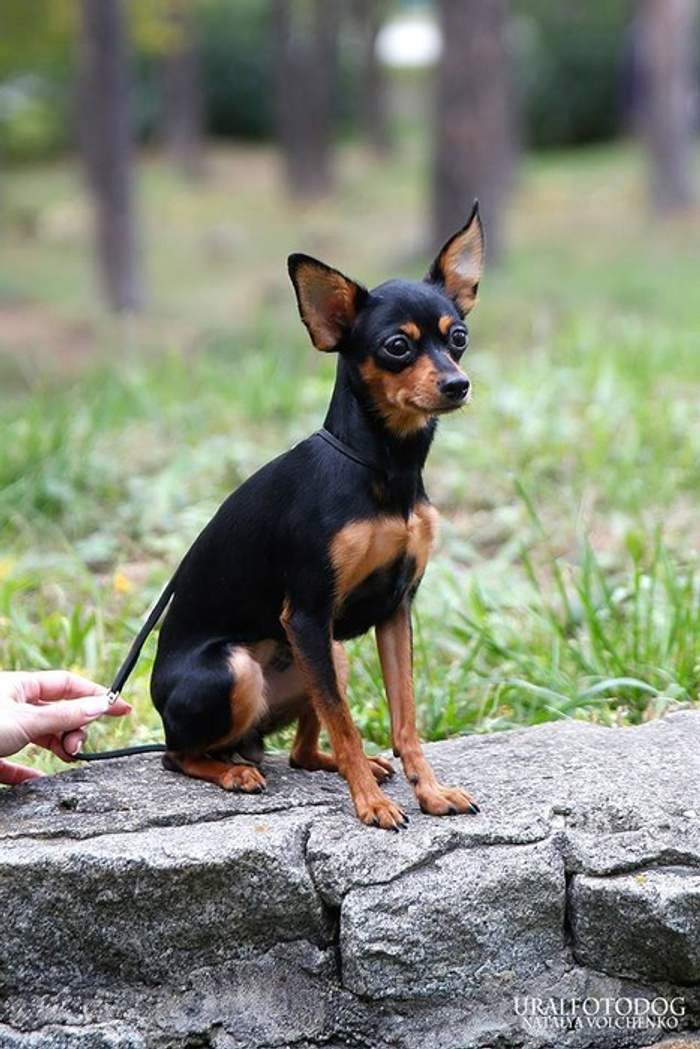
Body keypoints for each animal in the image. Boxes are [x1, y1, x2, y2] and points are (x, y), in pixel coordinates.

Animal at [150, 204, 484, 830]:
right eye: (397, 347)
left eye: (459, 338)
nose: (458, 383)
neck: (386, 467)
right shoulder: (306, 613)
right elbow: (347, 724)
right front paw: (371, 807)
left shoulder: (395, 609)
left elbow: (404, 720)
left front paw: (428, 791)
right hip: (241, 667)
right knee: (176, 753)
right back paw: (233, 772)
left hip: (329, 654)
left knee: (302, 751)